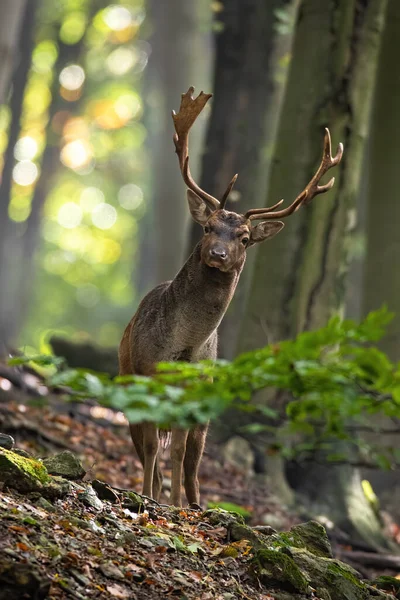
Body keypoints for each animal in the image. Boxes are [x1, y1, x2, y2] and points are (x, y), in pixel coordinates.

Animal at [117, 85, 342, 506]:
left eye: (245, 238)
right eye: (207, 227)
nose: (219, 255)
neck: (183, 348)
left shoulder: (194, 397)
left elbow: (178, 453)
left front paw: (176, 506)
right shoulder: (147, 378)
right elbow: (153, 449)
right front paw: (149, 497)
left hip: (204, 415)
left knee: (193, 463)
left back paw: (194, 502)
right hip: (126, 380)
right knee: (147, 447)